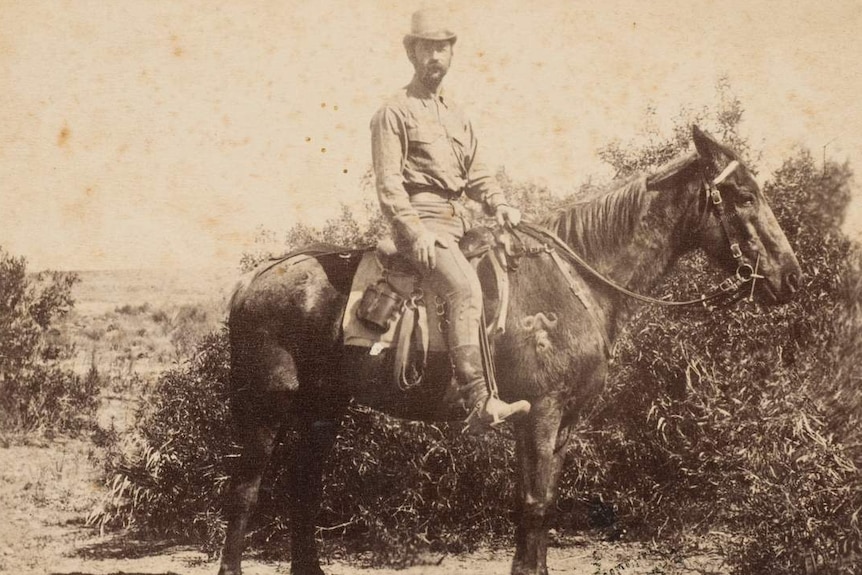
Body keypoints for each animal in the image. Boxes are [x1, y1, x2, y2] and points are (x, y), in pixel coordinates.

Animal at [216, 128, 804, 575]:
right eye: (744, 195)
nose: (791, 277)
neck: (577, 283)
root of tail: (252, 281)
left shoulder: (563, 421)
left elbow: (539, 508)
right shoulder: (540, 413)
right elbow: (533, 506)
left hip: (323, 409)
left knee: (304, 488)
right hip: (265, 408)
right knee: (245, 492)